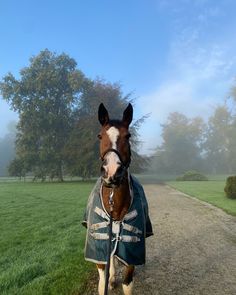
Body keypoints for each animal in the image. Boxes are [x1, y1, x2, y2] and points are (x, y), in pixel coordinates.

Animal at [82, 103, 153, 294]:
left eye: (128, 136)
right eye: (100, 136)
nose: (112, 172)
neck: (115, 203)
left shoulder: (131, 255)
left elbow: (127, 284)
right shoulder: (99, 253)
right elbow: (102, 282)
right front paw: (110, 280)